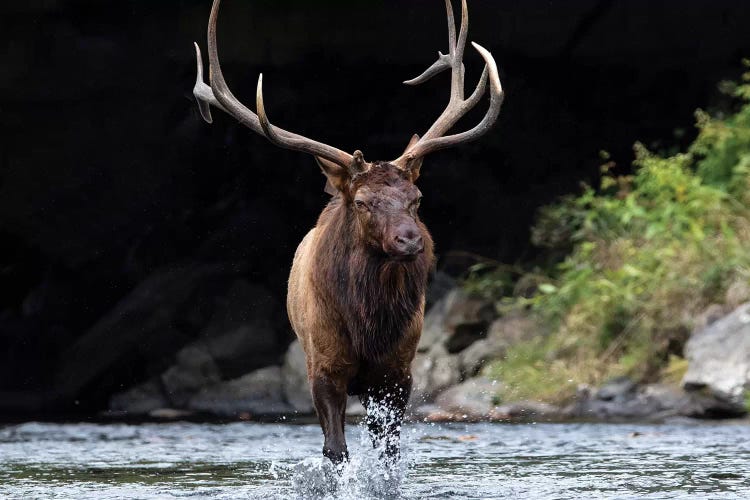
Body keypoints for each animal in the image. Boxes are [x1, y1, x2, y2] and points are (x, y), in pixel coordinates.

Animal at [194, 0, 506, 464]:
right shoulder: (323, 366)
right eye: (361, 202)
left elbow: (388, 452)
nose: (410, 240)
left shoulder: (398, 372)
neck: (367, 328)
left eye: (417, 197)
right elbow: (335, 449)